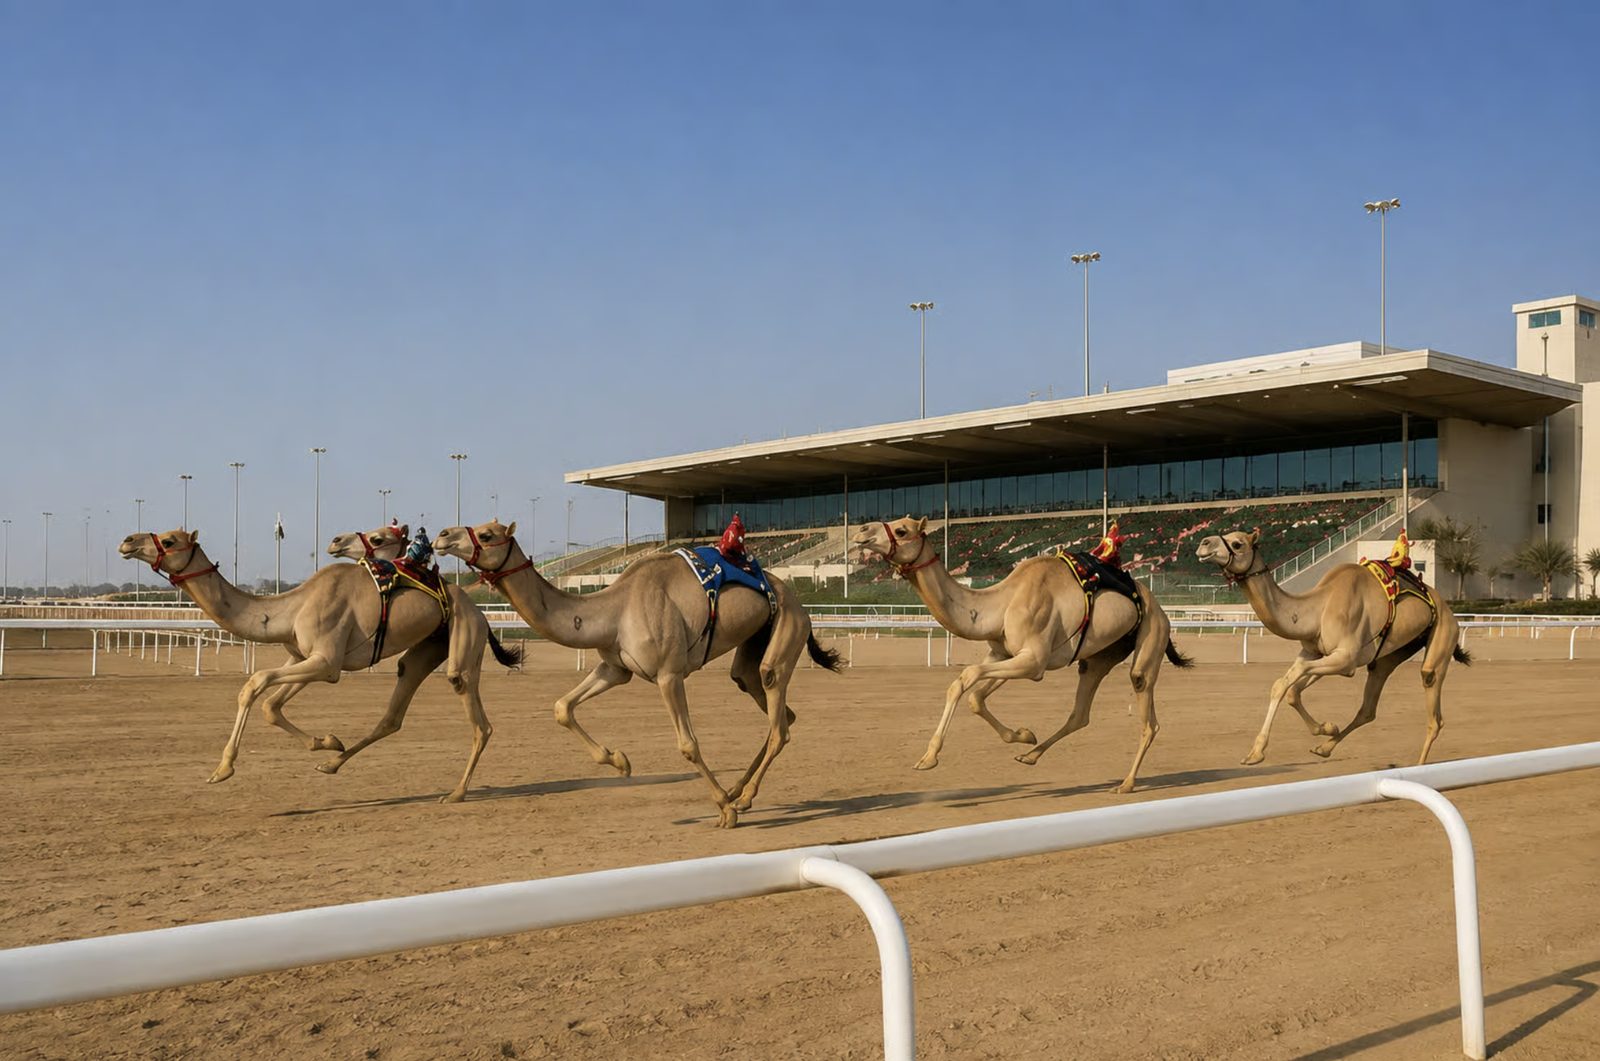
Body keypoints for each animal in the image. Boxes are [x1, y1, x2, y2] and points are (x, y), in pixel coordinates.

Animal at [119, 528, 522, 802]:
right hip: (427, 647)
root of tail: (481, 614)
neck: (290, 607)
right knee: (395, 710)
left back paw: (455, 793)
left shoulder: (326, 661)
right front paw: (326, 743)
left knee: (475, 713)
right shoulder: (305, 656)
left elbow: (255, 683)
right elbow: (270, 704)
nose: (127, 540)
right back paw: (333, 764)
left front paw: (222, 770)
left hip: (464, 637)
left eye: (170, 540)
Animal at [433, 521, 843, 828]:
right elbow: (562, 707)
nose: (441, 536)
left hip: (786, 630)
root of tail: (798, 601)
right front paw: (620, 760)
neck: (613, 610)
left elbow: (688, 744)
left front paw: (723, 813)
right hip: (754, 646)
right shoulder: (615, 668)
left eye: (487, 534)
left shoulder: (668, 673)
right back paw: (738, 793)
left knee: (779, 722)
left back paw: (738, 799)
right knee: (775, 707)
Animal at [851, 517, 1193, 794]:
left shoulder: (1034, 661)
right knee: (1080, 713)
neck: (1001, 604)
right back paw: (1030, 755)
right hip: (1099, 656)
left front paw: (928, 758)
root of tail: (1160, 607)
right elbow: (972, 694)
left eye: (902, 530)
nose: (861, 531)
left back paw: (1126, 783)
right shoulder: (1003, 654)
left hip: (1150, 637)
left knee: (1146, 710)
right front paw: (1024, 736)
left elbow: (968, 676)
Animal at [1194, 528, 1470, 766]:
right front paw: (1324, 729)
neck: (1318, 607)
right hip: (1389, 656)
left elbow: (1291, 681)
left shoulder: (1346, 659)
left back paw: (1420, 766)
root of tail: (1448, 609)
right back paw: (1324, 748)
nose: (1203, 543)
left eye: (1238, 544)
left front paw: (1258, 752)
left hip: (1443, 636)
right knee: (1369, 707)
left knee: (1433, 701)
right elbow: (1286, 687)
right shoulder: (1315, 651)